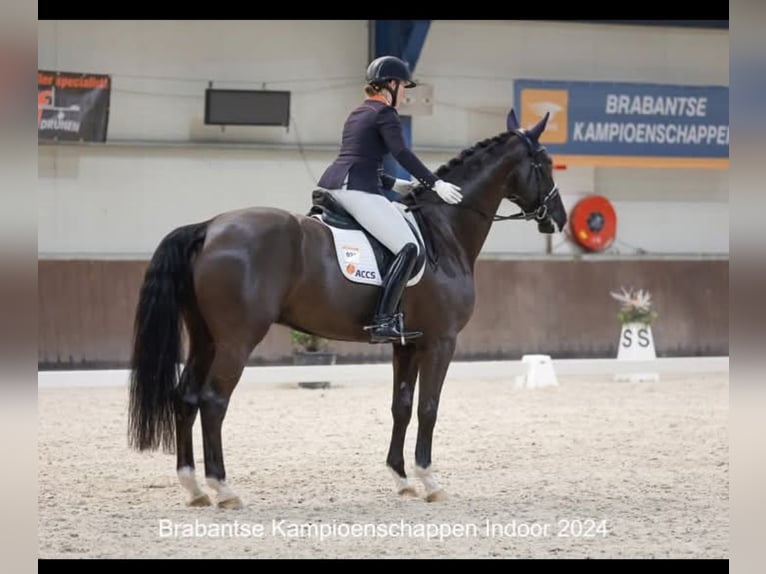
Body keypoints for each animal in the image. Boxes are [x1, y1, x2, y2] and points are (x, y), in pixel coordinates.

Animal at [127, 107, 567, 509]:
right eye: (545, 164)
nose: (559, 219)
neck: (445, 230)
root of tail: (208, 227)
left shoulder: (408, 343)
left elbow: (402, 406)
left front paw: (401, 480)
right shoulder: (442, 341)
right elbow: (429, 408)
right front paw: (430, 481)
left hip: (205, 336)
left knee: (185, 397)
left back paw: (194, 488)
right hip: (237, 339)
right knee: (213, 400)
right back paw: (224, 488)